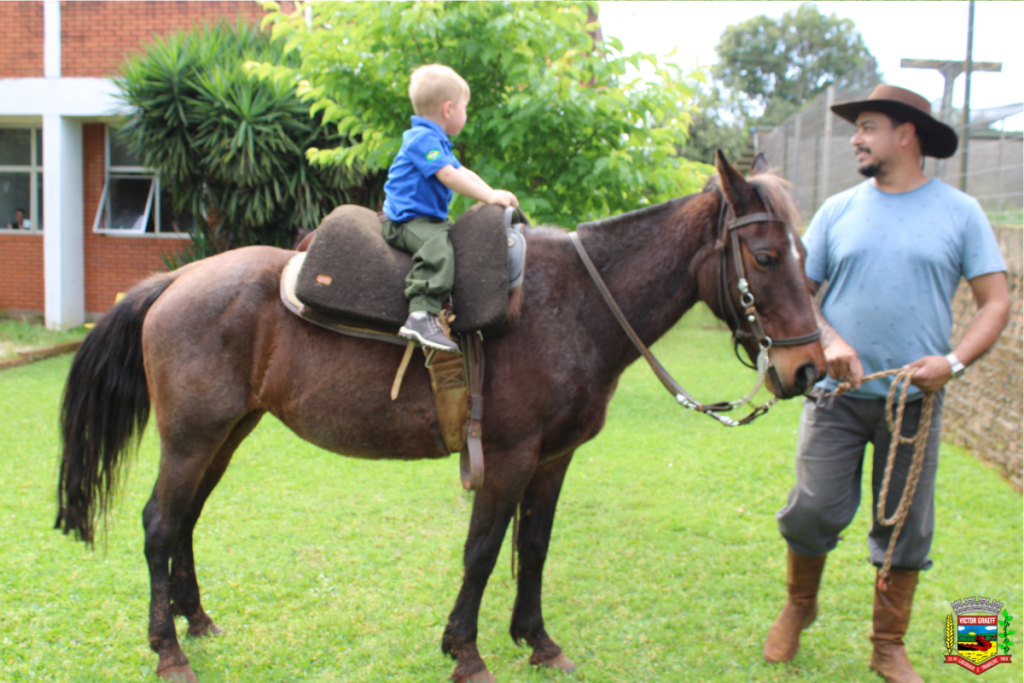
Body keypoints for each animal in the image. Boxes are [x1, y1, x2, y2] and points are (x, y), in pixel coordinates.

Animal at [55, 152, 825, 683]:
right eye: (764, 256)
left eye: (805, 255)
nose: (809, 370)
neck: (574, 303)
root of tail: (176, 279)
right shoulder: (507, 456)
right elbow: (482, 550)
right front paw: (466, 651)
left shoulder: (553, 458)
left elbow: (534, 547)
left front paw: (537, 641)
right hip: (192, 437)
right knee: (160, 523)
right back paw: (169, 650)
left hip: (224, 434)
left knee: (184, 520)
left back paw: (198, 621)